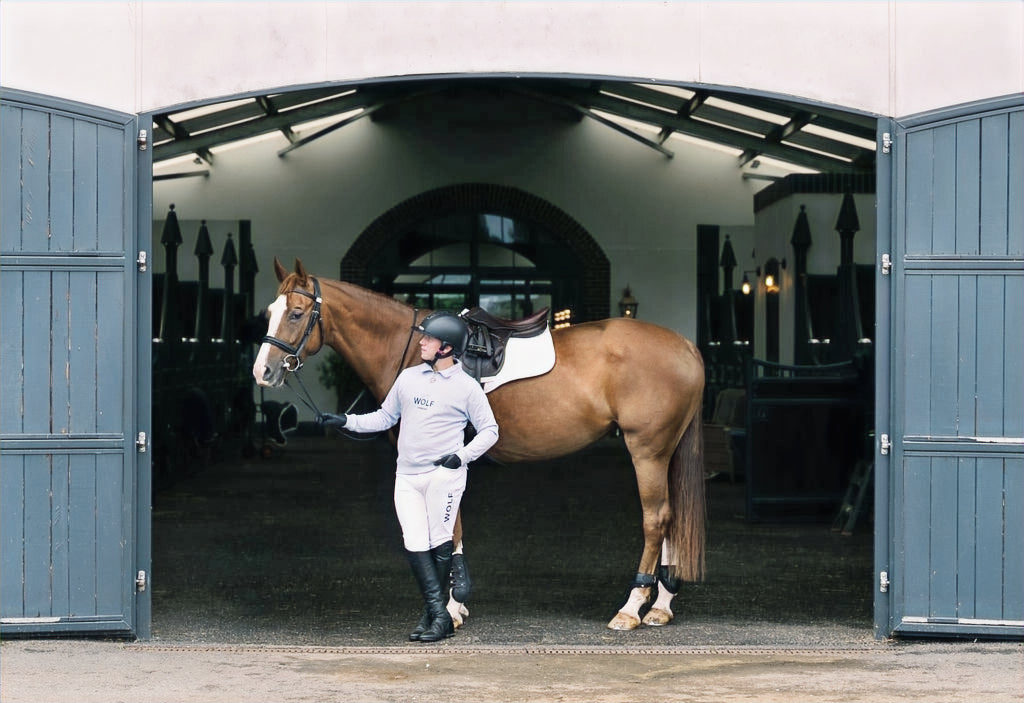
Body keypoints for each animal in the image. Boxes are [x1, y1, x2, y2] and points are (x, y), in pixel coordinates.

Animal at [253, 258, 706, 631]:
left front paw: (451, 608)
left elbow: (446, 529)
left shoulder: (443, 460)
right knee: (670, 519)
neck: (413, 349)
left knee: (655, 519)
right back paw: (661, 605)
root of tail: (685, 345)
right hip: (664, 453)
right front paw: (455, 602)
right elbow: (451, 527)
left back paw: (631, 607)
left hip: (646, 451)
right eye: (269, 314)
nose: (263, 372)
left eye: (296, 313)